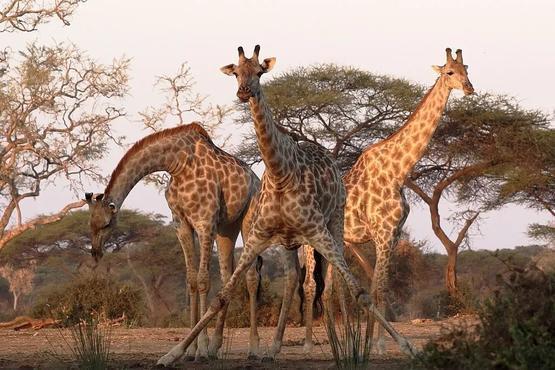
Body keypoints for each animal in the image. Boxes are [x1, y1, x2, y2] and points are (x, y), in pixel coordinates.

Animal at [83, 123, 264, 360]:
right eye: (90, 225)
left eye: (105, 224)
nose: (95, 252)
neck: (177, 163)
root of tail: (257, 181)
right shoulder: (181, 224)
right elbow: (191, 279)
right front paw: (192, 350)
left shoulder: (205, 222)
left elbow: (203, 279)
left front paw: (201, 349)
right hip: (228, 228)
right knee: (227, 277)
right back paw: (216, 347)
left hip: (248, 220)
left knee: (252, 277)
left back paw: (254, 348)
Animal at [302, 47, 476, 354]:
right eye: (449, 72)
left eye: (467, 69)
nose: (469, 88)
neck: (398, 172)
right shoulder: (382, 233)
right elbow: (378, 288)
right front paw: (379, 345)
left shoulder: (393, 234)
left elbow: (378, 287)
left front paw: (373, 344)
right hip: (308, 241)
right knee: (310, 286)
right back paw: (308, 345)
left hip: (333, 239)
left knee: (330, 287)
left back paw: (335, 342)